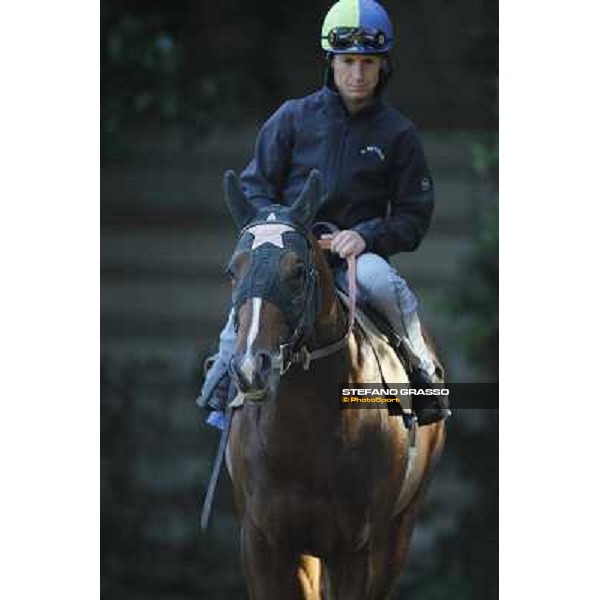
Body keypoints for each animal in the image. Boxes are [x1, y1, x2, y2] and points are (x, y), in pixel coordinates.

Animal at [221, 170, 446, 600]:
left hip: (399, 529)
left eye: (297, 270)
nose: (250, 366)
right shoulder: (262, 544)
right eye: (232, 270)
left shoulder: (352, 548)